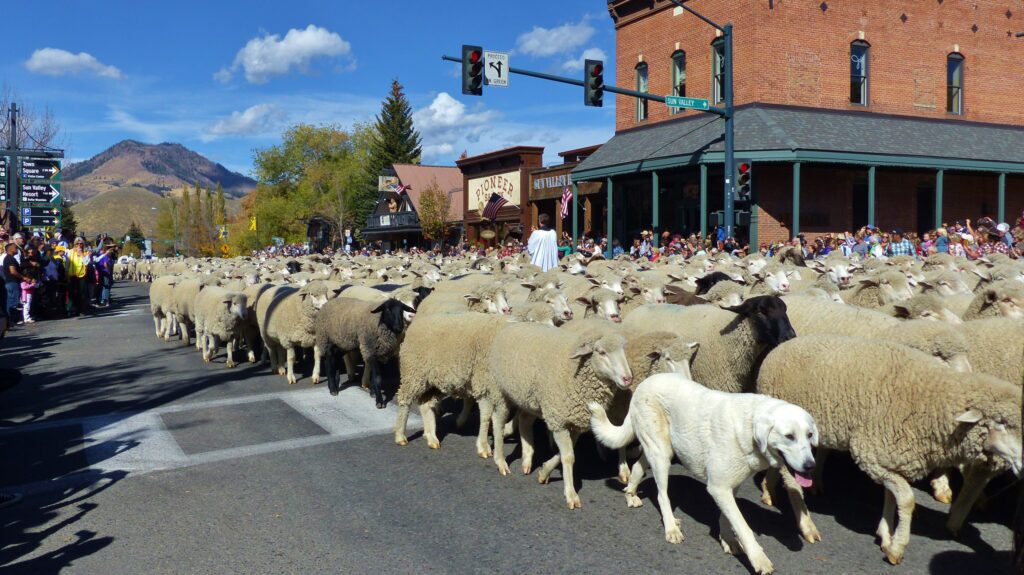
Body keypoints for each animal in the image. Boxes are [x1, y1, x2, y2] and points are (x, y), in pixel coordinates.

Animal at [484, 323, 633, 509]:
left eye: (623, 350)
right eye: (601, 352)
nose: (628, 379)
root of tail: (510, 325)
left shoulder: (575, 422)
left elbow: (564, 454)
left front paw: (544, 472)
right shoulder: (558, 420)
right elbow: (568, 457)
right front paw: (571, 494)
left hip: (529, 398)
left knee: (524, 420)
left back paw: (527, 459)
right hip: (499, 389)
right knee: (498, 421)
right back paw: (501, 461)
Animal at [757, 334, 1022, 565]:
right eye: (1001, 422)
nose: (1022, 463)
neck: (930, 401)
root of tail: (779, 349)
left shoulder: (891, 456)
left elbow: (891, 496)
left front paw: (886, 535)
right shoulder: (871, 455)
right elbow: (906, 499)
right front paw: (897, 547)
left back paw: (769, 490)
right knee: (791, 479)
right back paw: (807, 525)